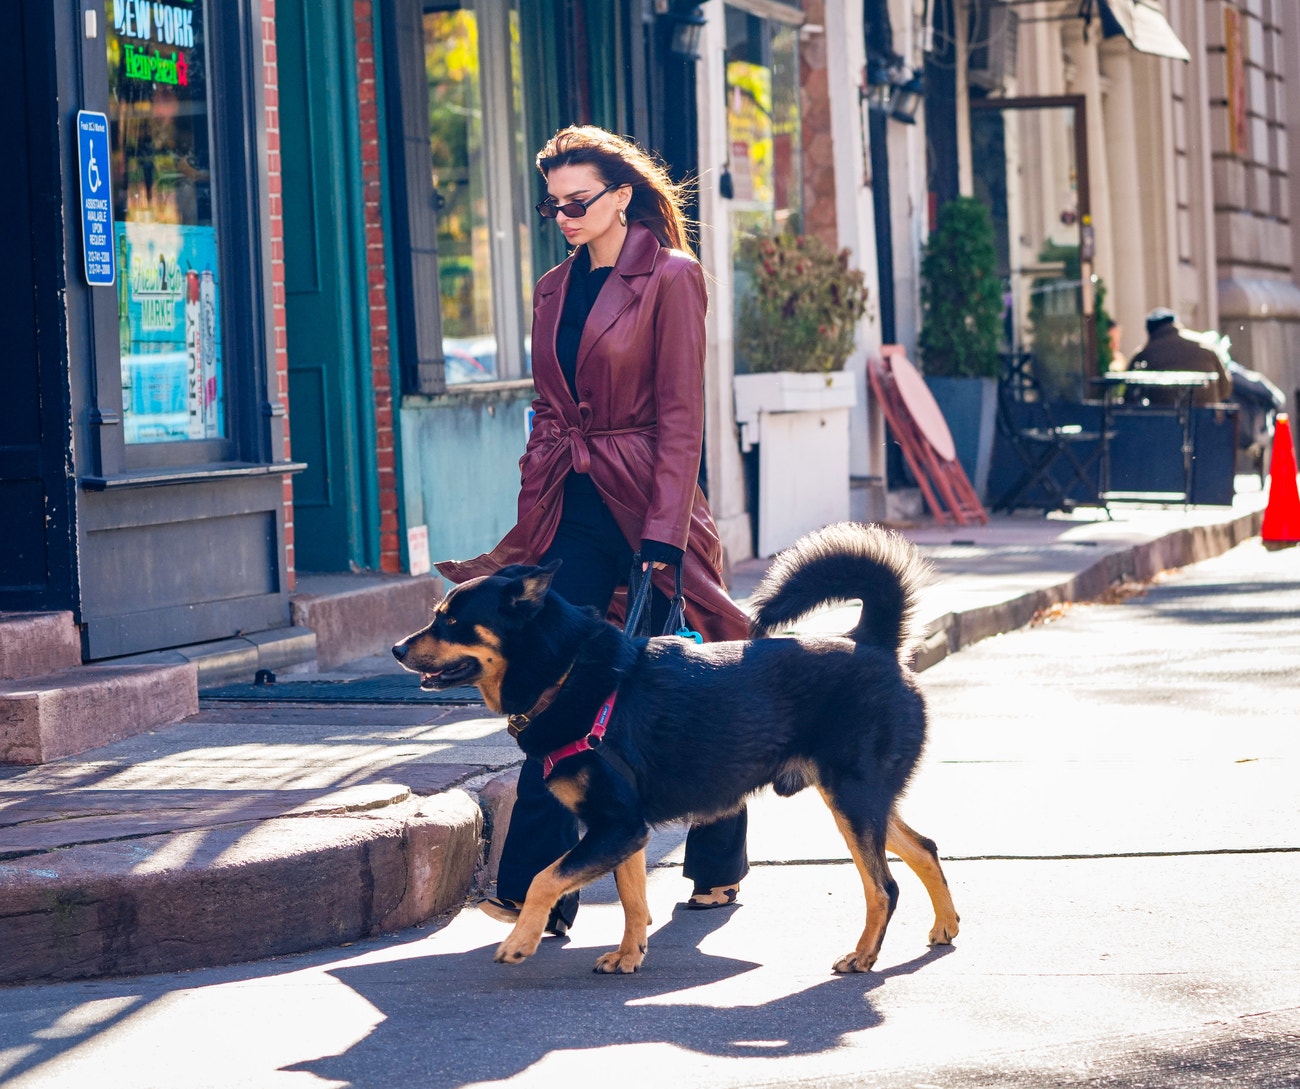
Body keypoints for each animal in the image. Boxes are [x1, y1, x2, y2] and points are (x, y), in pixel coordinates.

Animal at [390, 525, 961, 977]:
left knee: (883, 886)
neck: (566, 673)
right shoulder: (624, 830)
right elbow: (632, 900)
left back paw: (864, 956)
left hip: (852, 799)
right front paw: (628, 955)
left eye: (450, 621)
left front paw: (521, 941)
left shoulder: (616, 826)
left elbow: (543, 878)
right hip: (859, 800)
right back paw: (945, 925)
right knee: (924, 847)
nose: (396, 648)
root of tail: (872, 642)